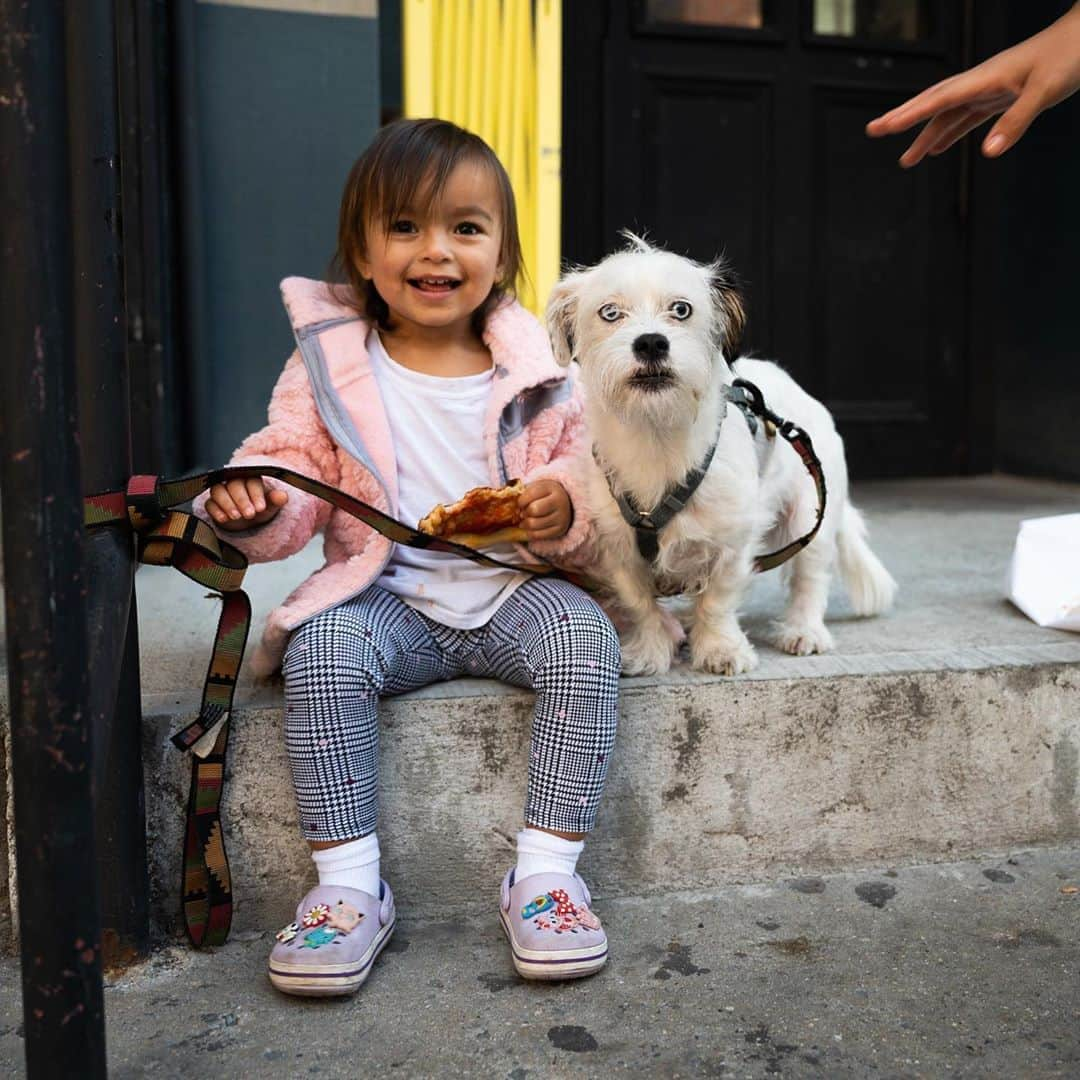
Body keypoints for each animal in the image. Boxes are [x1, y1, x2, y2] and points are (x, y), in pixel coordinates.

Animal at [548, 239, 894, 669]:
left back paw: (804, 630)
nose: (651, 342)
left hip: (809, 516)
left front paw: (720, 648)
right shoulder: (618, 548)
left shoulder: (733, 540)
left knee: (810, 578)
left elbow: (717, 599)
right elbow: (640, 602)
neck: (656, 435)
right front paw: (651, 649)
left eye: (681, 309)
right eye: (609, 313)